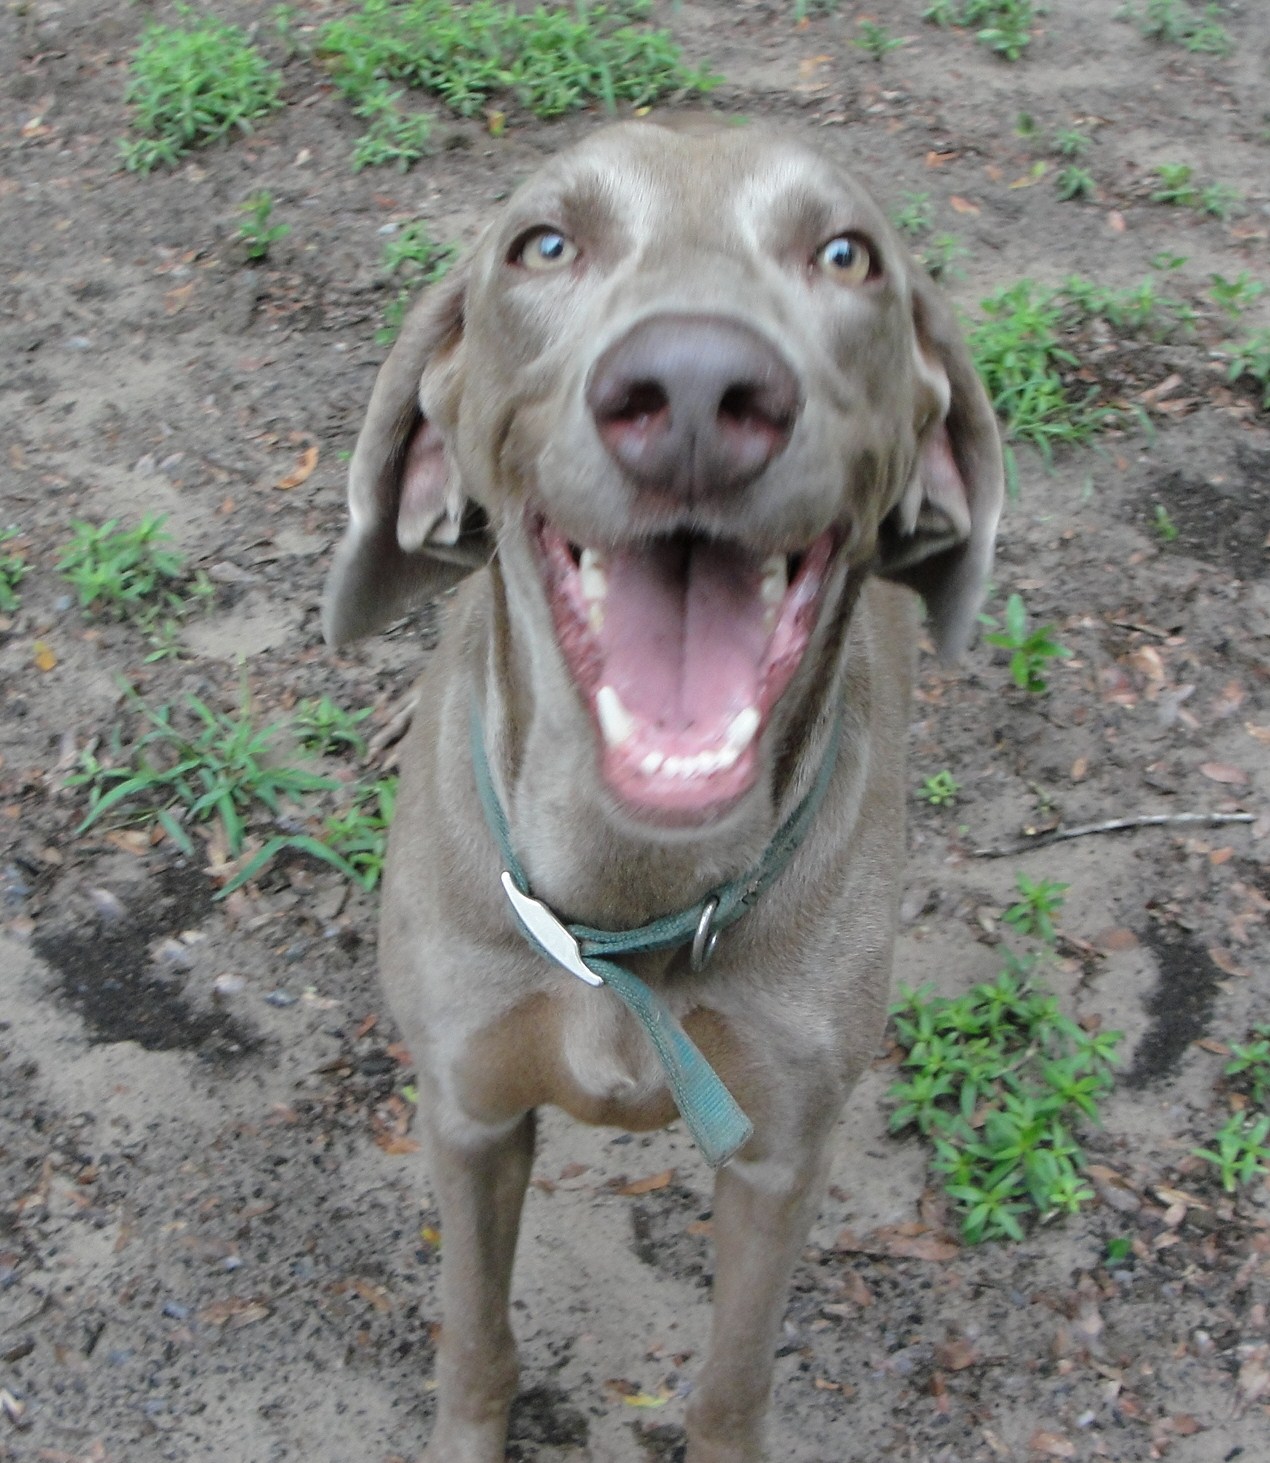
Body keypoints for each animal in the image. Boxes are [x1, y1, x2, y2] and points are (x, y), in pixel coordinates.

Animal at [320, 117, 1000, 1463]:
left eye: (844, 253)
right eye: (543, 245)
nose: (693, 388)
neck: (628, 885)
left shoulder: (780, 1149)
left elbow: (730, 1381)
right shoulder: (467, 1107)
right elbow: (474, 1336)